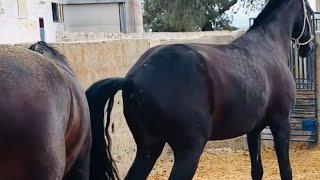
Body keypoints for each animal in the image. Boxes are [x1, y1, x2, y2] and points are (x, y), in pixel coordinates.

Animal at [85, 0, 316, 179]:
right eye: (311, 13)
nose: (310, 47)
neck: (269, 46)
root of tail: (132, 80)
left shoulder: (254, 129)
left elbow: (257, 170)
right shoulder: (281, 123)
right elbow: (286, 171)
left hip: (148, 149)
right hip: (188, 151)